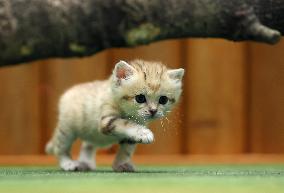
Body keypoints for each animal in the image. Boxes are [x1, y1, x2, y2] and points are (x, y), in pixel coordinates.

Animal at [45, 59, 185, 172]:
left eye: (163, 100)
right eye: (140, 98)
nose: (153, 111)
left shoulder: (131, 135)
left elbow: (126, 150)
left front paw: (121, 165)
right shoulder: (107, 120)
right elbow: (126, 123)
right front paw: (144, 133)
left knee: (87, 145)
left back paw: (86, 163)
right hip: (66, 131)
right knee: (60, 148)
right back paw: (69, 164)